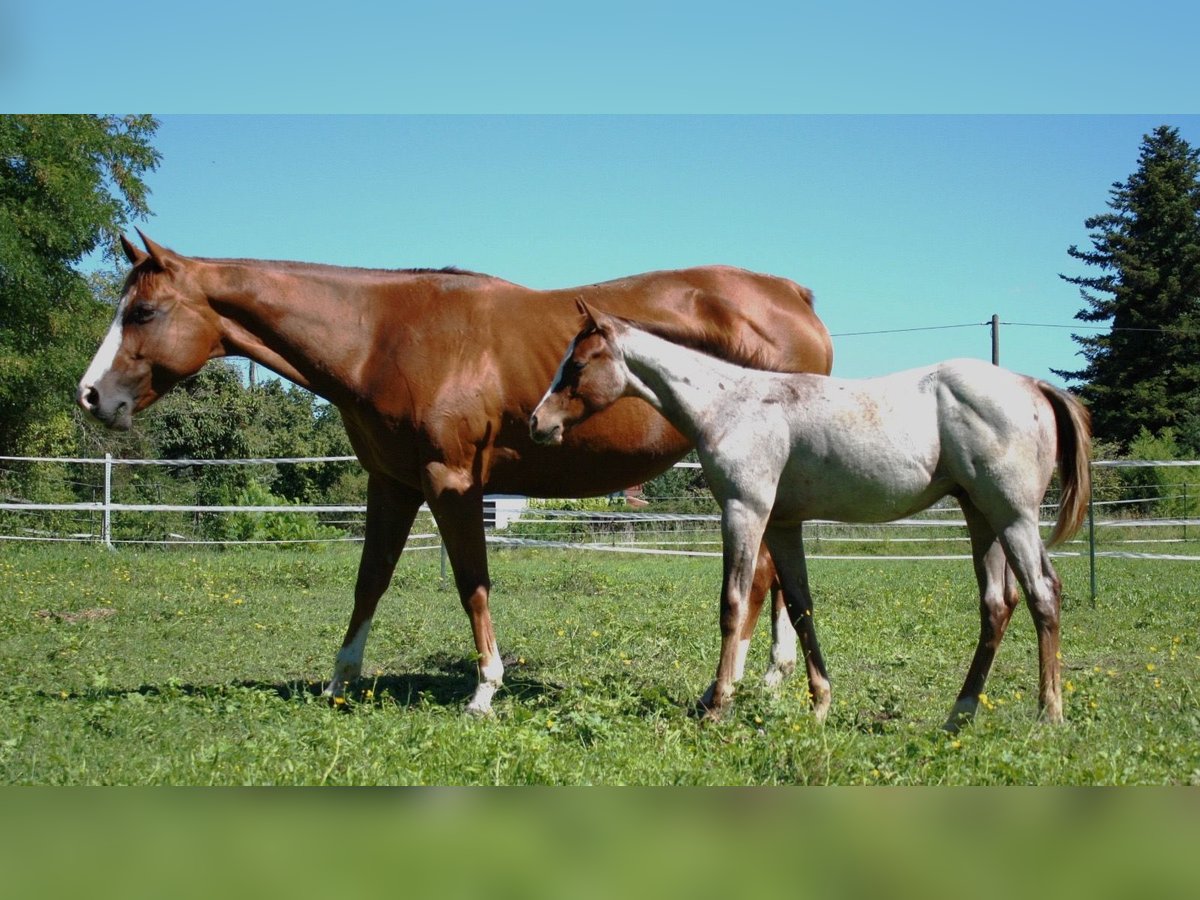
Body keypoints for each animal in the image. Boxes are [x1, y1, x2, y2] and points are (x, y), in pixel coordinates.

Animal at [76, 232, 833, 715]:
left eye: (143, 311)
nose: (91, 396)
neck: (383, 336)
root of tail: (794, 295)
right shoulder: (393, 485)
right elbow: (370, 581)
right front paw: (339, 682)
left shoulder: (452, 483)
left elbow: (473, 584)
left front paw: (484, 691)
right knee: (773, 578)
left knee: (759, 579)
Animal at [530, 302, 1091, 729]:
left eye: (576, 366)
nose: (538, 423)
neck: (733, 405)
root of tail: (1033, 385)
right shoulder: (782, 524)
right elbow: (800, 607)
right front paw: (820, 704)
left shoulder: (745, 511)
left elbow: (733, 604)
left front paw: (718, 707)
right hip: (980, 515)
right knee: (997, 604)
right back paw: (959, 714)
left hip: (1012, 516)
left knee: (1043, 594)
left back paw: (1049, 716)